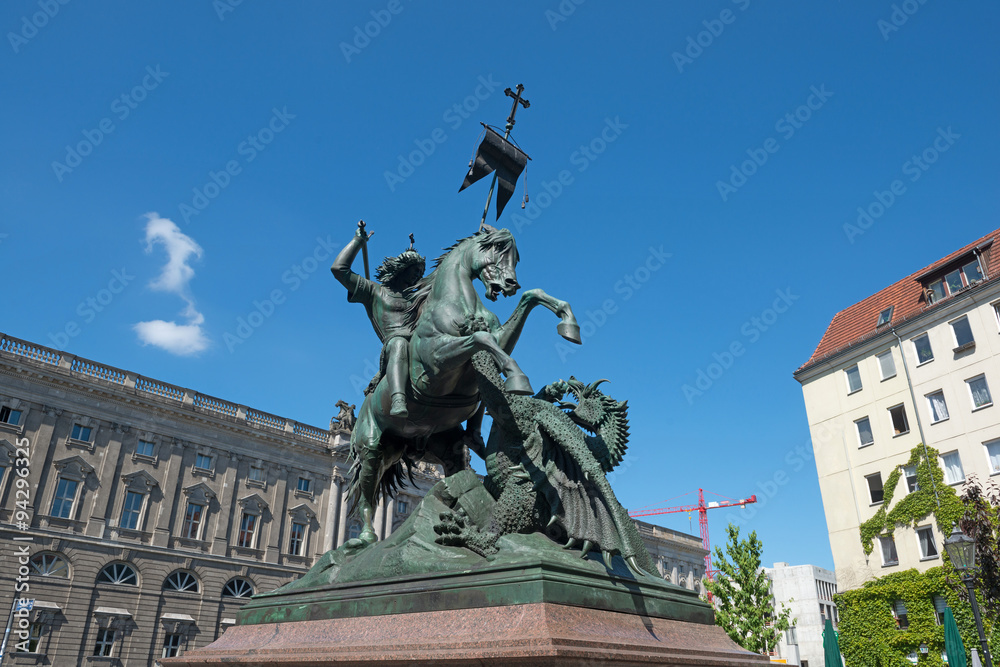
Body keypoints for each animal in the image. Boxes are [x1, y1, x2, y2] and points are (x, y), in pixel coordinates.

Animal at [346, 227, 580, 544]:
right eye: (496, 248)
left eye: (516, 256)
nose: (510, 284)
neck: (458, 302)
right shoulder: (436, 363)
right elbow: (482, 339)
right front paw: (517, 376)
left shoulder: (494, 343)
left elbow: (524, 305)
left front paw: (568, 322)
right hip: (372, 447)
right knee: (367, 494)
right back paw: (366, 537)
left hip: (435, 449)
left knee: (456, 477)